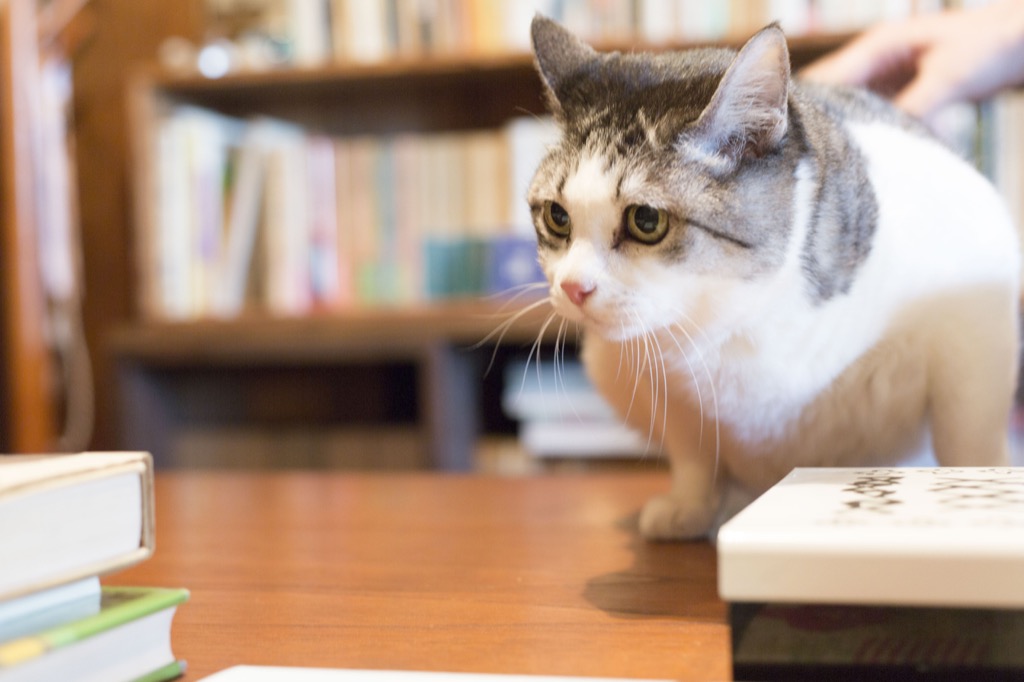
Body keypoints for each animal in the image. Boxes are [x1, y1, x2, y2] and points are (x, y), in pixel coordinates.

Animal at [524, 14, 1019, 536]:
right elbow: (693, 456)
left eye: (646, 220)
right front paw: (690, 506)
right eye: (557, 216)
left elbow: (969, 437)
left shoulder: (973, 338)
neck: (747, 311)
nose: (573, 288)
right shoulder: (668, 397)